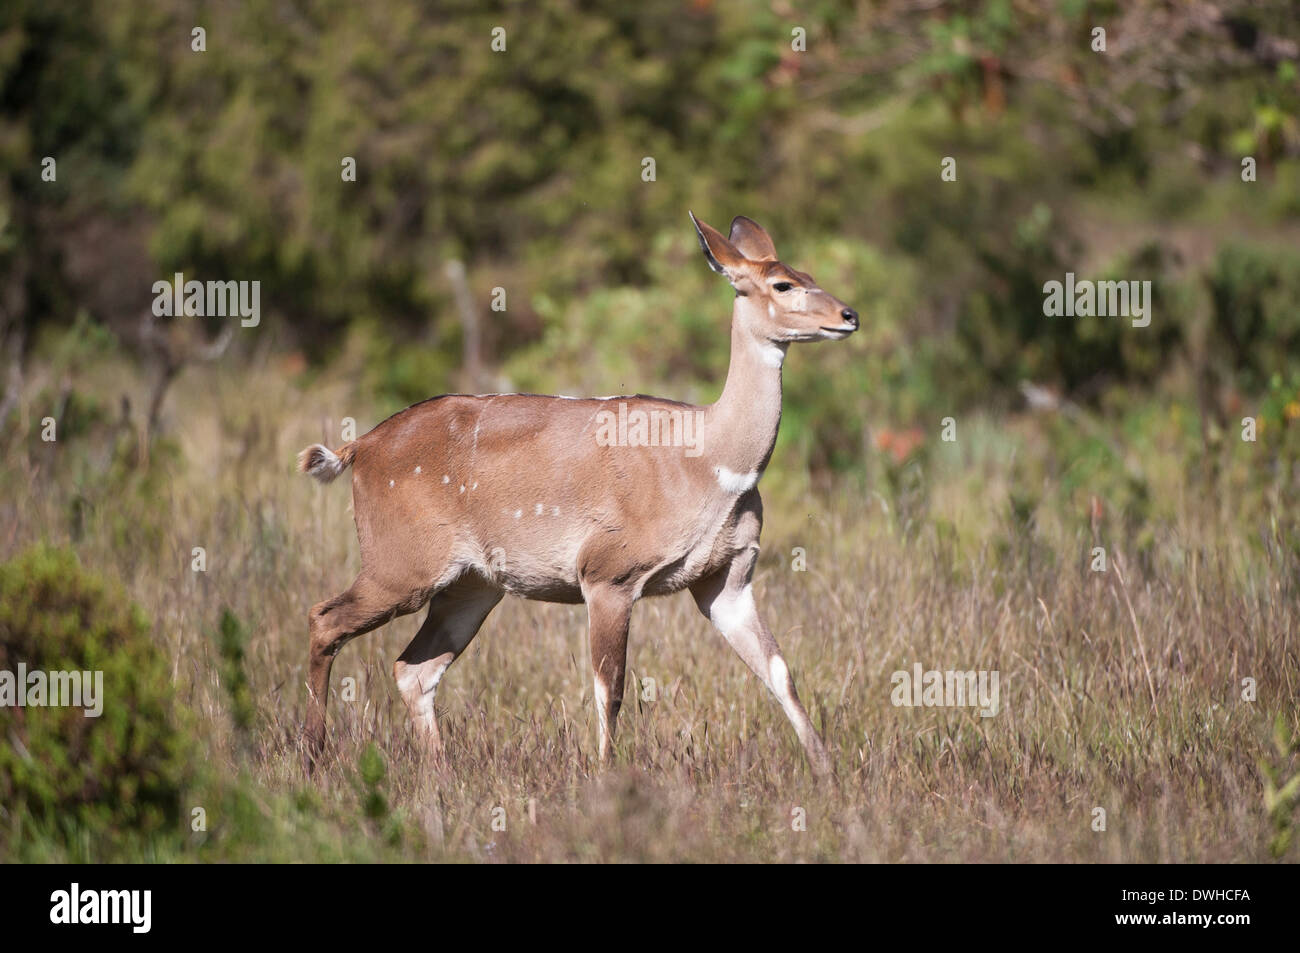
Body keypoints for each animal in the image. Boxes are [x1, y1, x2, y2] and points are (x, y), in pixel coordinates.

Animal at [299, 213, 857, 774]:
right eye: (782, 284)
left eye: (808, 272)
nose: (849, 315)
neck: (710, 464)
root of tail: (359, 448)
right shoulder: (608, 571)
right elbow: (610, 687)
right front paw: (608, 773)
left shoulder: (728, 578)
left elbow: (780, 671)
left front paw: (827, 772)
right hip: (402, 563)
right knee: (326, 619)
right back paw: (313, 754)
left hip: (472, 584)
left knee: (413, 667)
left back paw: (438, 769)